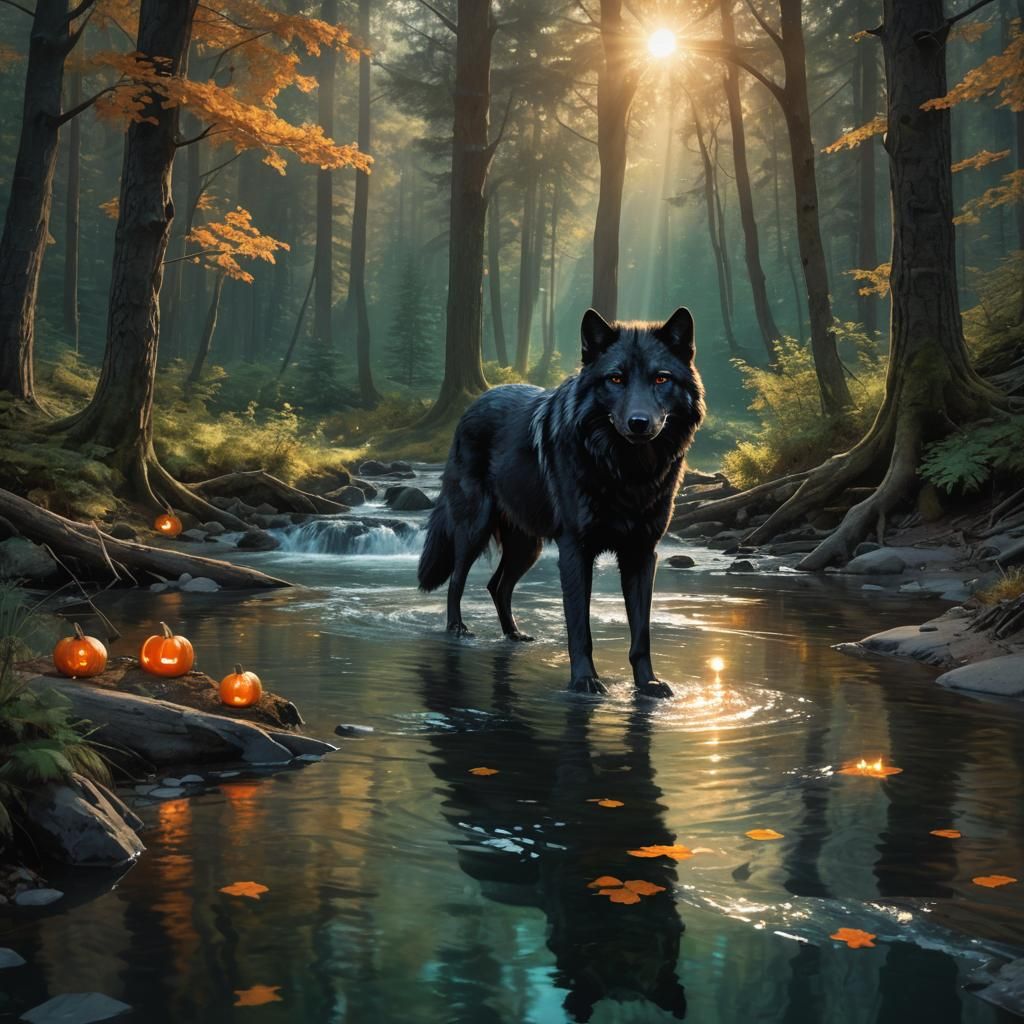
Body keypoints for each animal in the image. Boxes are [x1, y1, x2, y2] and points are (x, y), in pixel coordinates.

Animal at [418, 307, 705, 698]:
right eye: (615, 379)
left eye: (661, 379)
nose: (639, 422)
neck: (627, 472)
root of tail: (474, 403)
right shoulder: (575, 550)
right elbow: (580, 628)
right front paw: (584, 681)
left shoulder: (642, 553)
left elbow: (641, 632)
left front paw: (648, 683)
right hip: (475, 530)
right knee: (457, 581)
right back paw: (457, 630)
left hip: (528, 546)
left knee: (497, 585)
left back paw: (514, 634)